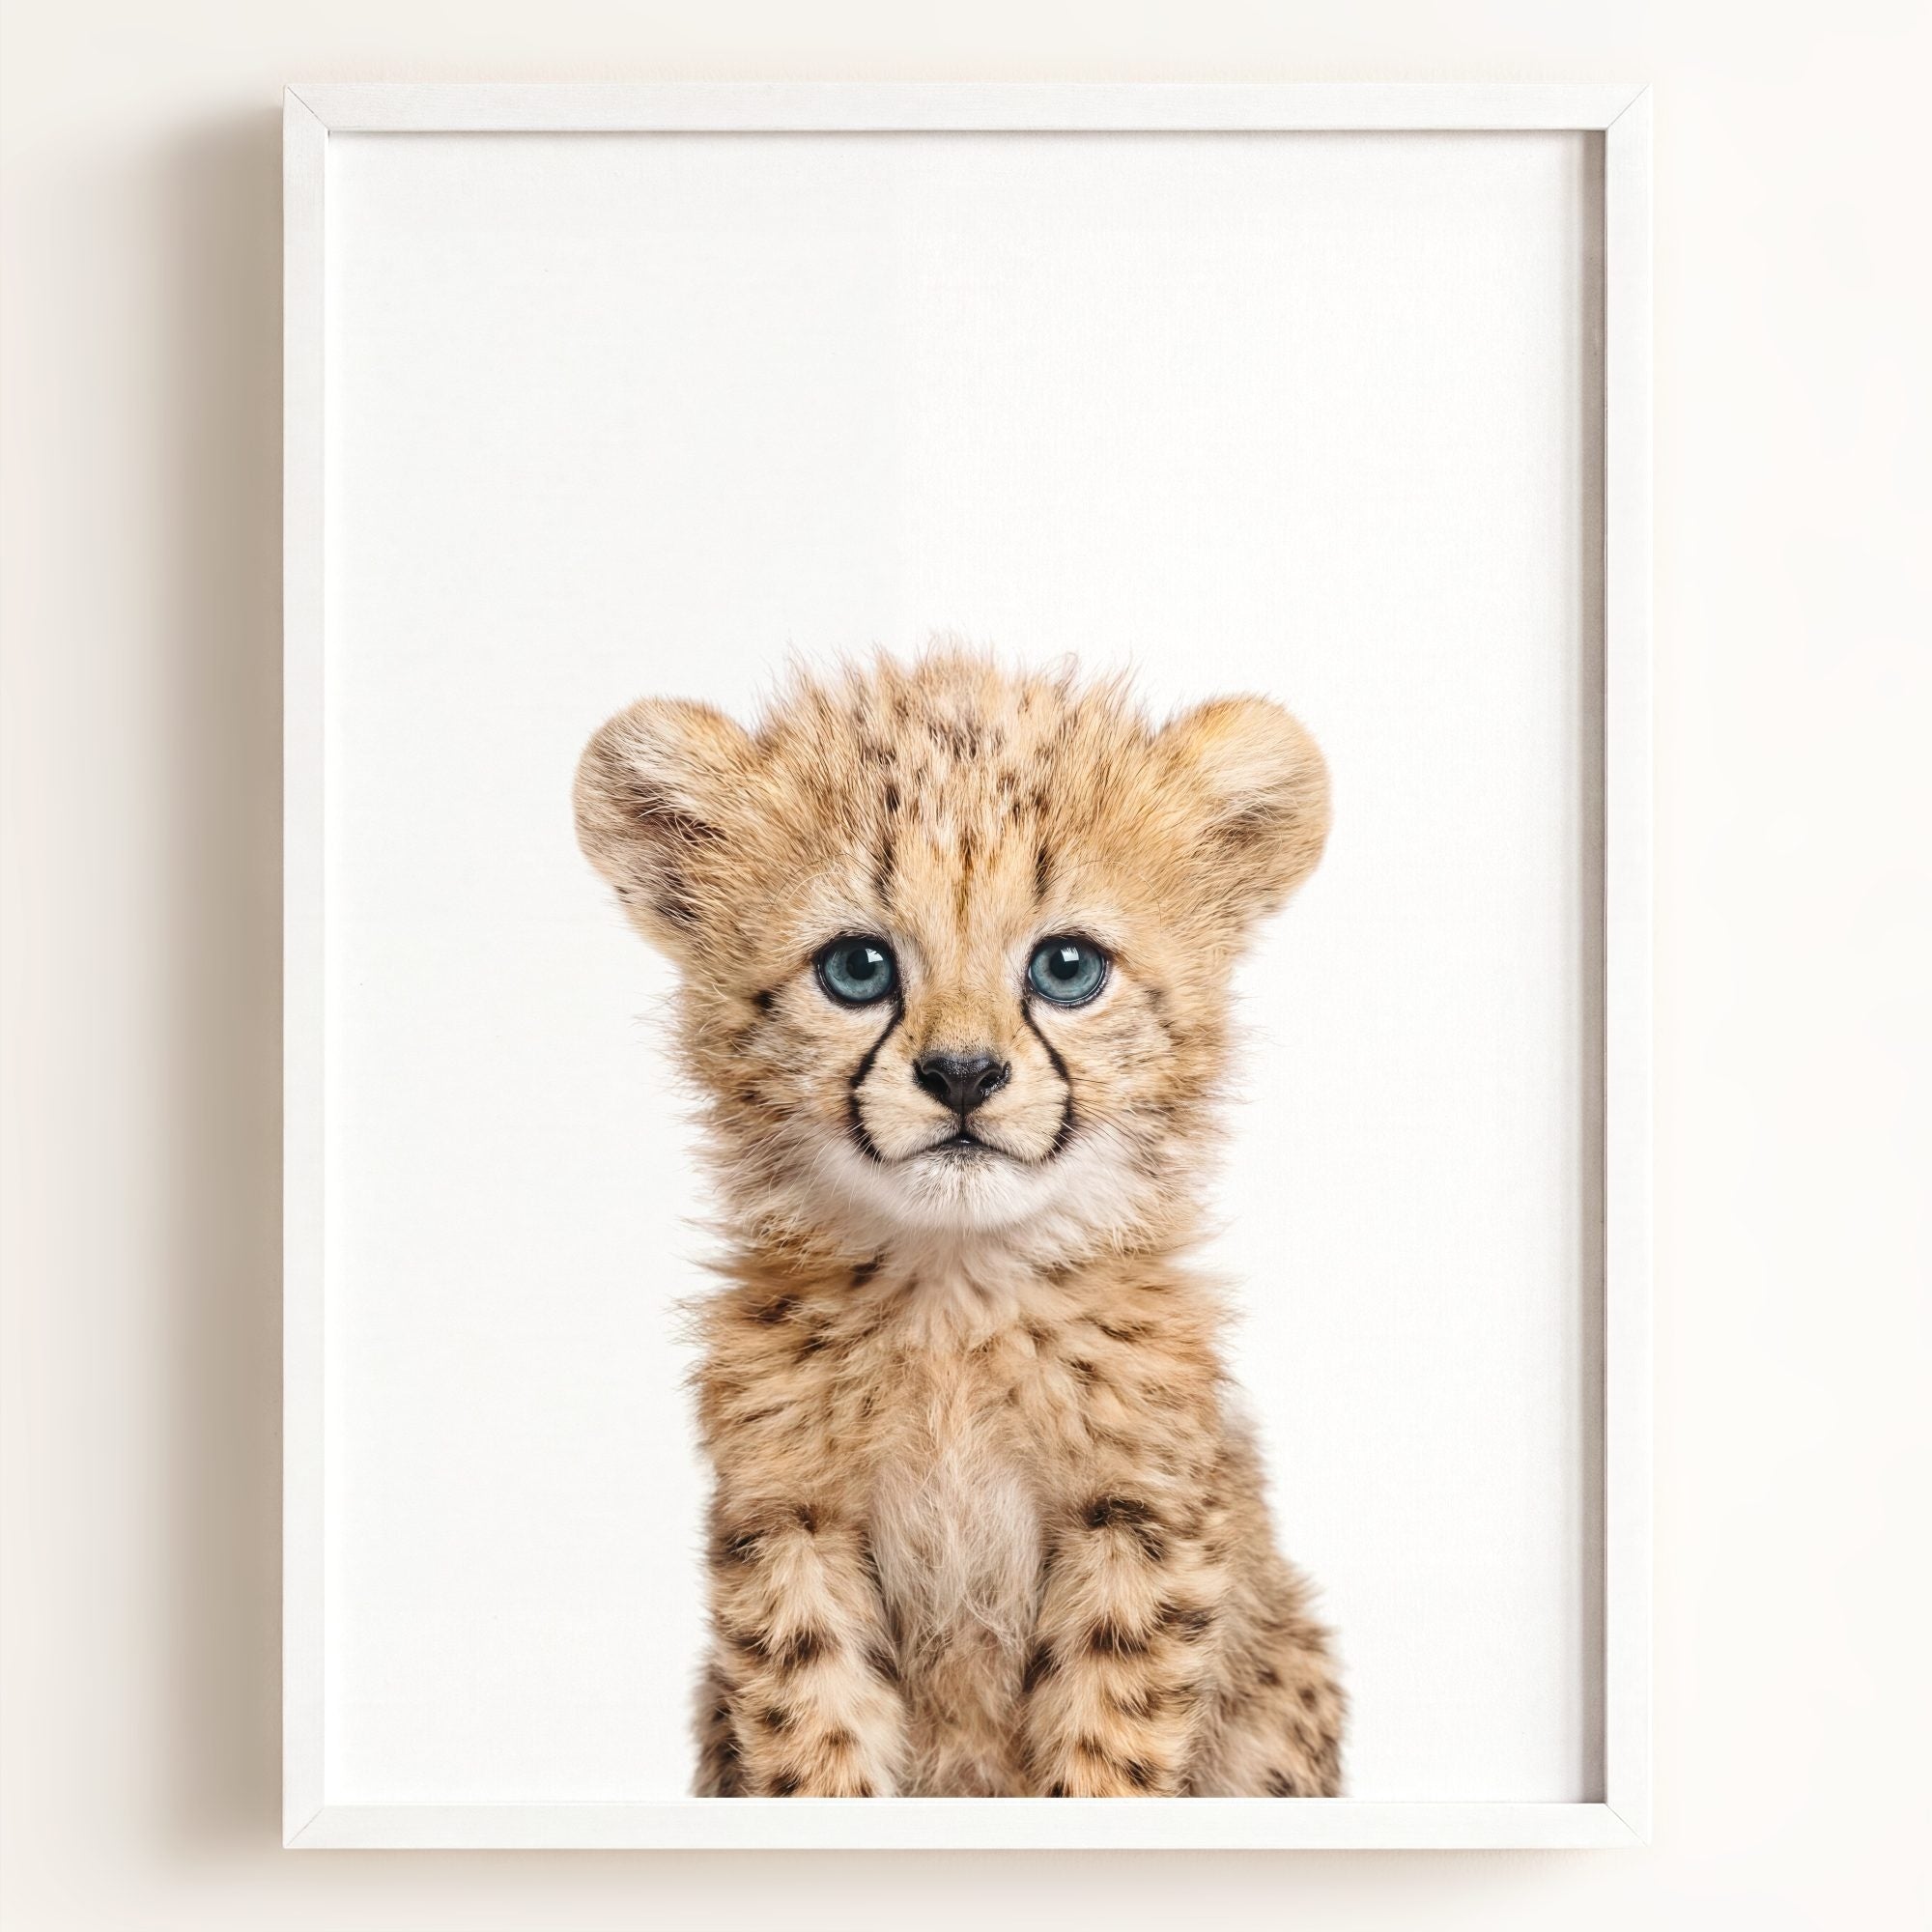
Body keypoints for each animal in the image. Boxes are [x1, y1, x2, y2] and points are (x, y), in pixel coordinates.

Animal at [574, 648, 1344, 1798]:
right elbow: (813, 1733)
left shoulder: (1137, 1517)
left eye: (1067, 967)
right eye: (857, 967)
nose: (963, 1075)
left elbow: (1109, 1741)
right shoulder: (790, 1521)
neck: (955, 1293)